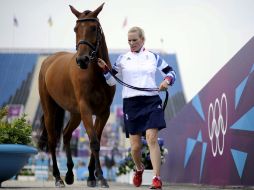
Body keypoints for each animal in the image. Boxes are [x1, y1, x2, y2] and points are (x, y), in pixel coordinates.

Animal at [37, 3, 115, 188]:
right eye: (75, 29)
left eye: (94, 28)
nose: (82, 60)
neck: (96, 75)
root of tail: (48, 61)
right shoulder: (86, 109)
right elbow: (93, 141)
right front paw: (101, 177)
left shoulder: (104, 112)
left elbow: (97, 140)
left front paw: (92, 177)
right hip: (50, 109)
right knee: (52, 140)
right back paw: (58, 177)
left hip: (75, 114)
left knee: (66, 134)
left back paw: (70, 174)